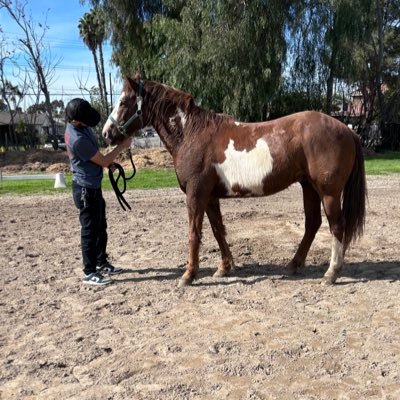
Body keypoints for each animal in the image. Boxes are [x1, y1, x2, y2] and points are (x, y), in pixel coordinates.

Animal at [102, 76, 366, 288]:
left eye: (123, 102)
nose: (106, 133)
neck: (191, 134)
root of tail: (347, 129)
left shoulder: (195, 195)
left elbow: (194, 233)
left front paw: (188, 275)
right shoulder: (209, 197)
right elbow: (218, 231)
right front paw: (224, 268)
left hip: (329, 192)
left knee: (336, 227)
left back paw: (331, 273)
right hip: (308, 187)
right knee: (312, 224)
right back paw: (294, 264)